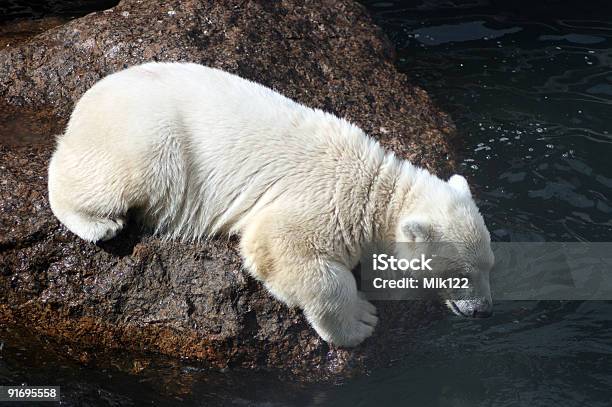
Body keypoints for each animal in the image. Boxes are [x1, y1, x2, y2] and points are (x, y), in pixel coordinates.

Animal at [50, 62, 494, 346]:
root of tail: (87, 100)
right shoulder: (323, 202)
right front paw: (360, 321)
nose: (485, 311)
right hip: (148, 138)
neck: (375, 190)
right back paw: (98, 223)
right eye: (460, 274)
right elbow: (282, 249)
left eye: (490, 265)